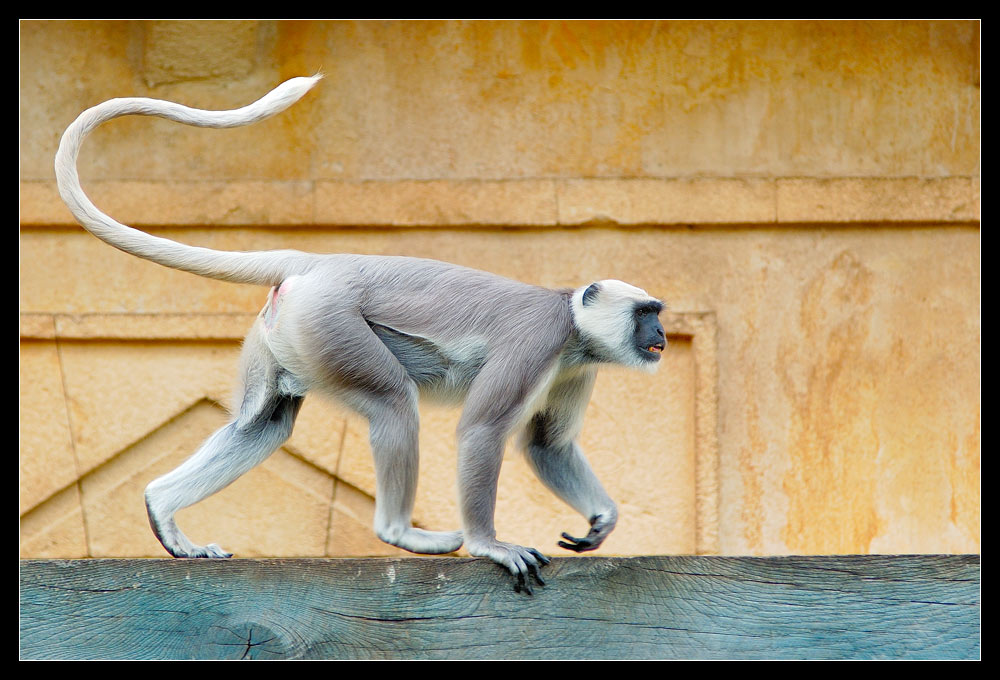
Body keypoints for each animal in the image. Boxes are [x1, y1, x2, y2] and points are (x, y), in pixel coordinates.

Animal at [52, 75, 664, 596]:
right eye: (645, 312)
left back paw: (164, 510)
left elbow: (547, 445)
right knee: (393, 401)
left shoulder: (576, 361)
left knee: (263, 423)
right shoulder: (540, 338)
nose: (659, 331)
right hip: (329, 322)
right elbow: (482, 431)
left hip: (287, 331)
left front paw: (601, 519)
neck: (568, 316)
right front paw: (490, 545)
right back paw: (401, 532)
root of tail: (318, 262)